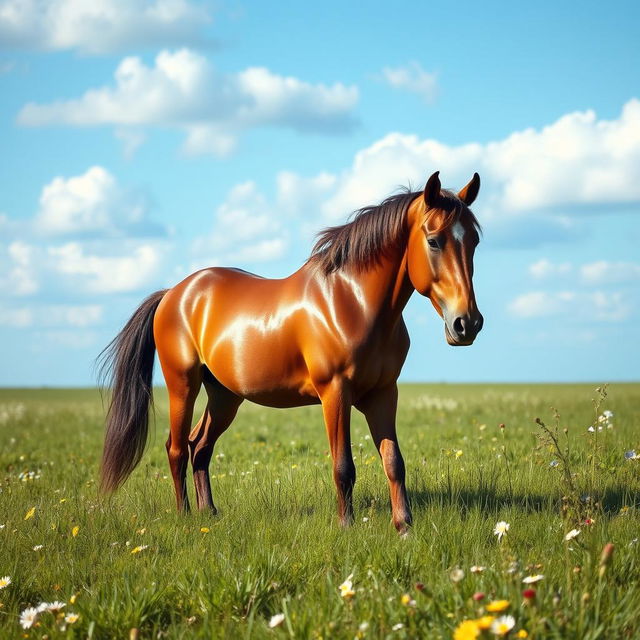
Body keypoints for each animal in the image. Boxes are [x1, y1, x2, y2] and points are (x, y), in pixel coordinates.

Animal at [99, 171, 480, 536]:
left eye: (474, 241)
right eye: (434, 240)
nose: (467, 324)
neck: (351, 302)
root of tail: (174, 293)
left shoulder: (384, 393)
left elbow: (394, 462)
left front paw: (404, 527)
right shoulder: (335, 393)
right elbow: (343, 466)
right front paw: (346, 526)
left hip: (224, 395)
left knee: (200, 446)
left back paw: (210, 513)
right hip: (183, 385)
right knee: (177, 448)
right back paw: (185, 516)